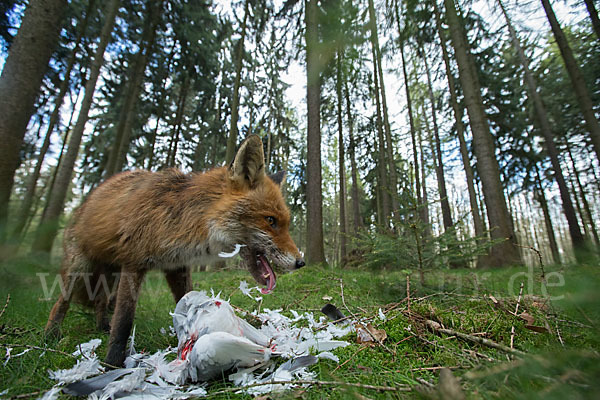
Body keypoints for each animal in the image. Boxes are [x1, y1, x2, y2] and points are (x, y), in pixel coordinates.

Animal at [44, 136, 304, 368]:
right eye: (270, 221)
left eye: (285, 223)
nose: (300, 263)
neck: (183, 220)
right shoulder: (134, 263)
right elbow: (124, 320)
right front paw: (112, 363)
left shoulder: (175, 266)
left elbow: (187, 302)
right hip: (80, 267)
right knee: (62, 302)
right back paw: (51, 334)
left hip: (111, 272)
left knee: (100, 300)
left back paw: (101, 326)